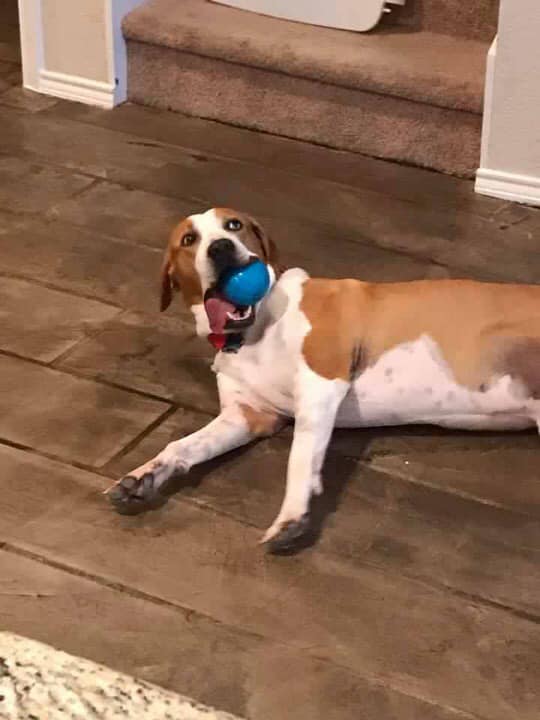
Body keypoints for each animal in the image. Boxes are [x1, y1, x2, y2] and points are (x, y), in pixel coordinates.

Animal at [108, 207, 540, 552]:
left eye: (234, 225)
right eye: (188, 239)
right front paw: (145, 475)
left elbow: (301, 455)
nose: (221, 248)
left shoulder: (322, 382)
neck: (257, 328)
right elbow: (184, 445)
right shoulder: (247, 415)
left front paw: (292, 516)